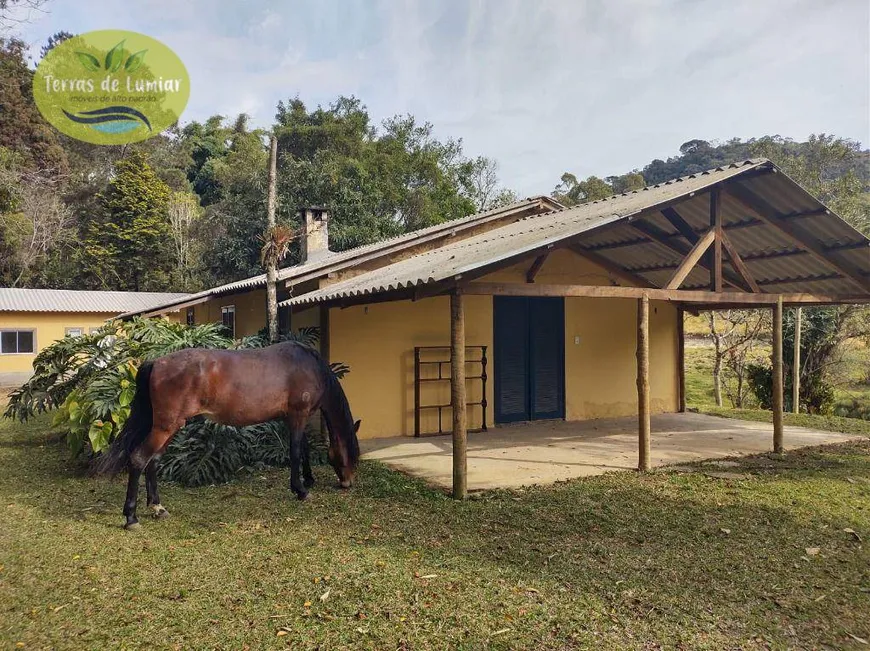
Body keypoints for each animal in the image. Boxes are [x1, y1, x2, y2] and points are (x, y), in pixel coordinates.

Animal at [92, 342, 358, 528]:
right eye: (352, 456)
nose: (348, 483)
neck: (307, 365)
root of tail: (157, 362)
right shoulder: (298, 416)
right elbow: (295, 452)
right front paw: (301, 490)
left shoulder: (294, 418)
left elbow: (303, 449)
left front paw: (308, 479)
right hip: (165, 427)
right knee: (139, 459)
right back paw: (131, 517)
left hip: (170, 427)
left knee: (153, 461)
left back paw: (157, 507)